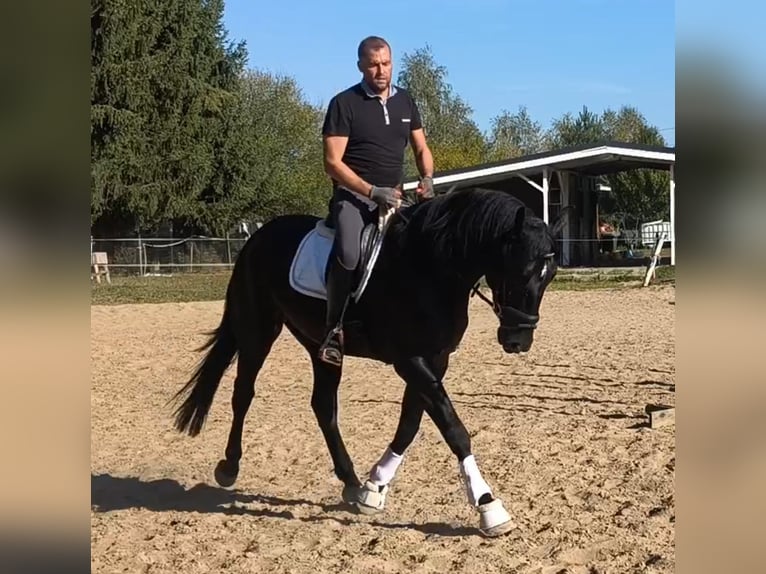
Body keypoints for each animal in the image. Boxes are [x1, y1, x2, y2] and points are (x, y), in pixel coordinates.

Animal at [170, 187, 568, 537]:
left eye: (550, 275)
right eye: (520, 271)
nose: (518, 341)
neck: (430, 267)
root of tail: (258, 237)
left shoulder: (434, 359)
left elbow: (410, 425)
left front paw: (373, 487)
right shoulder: (409, 360)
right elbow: (453, 428)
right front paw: (488, 505)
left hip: (319, 345)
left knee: (323, 406)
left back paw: (349, 481)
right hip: (258, 329)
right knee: (243, 393)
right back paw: (229, 466)